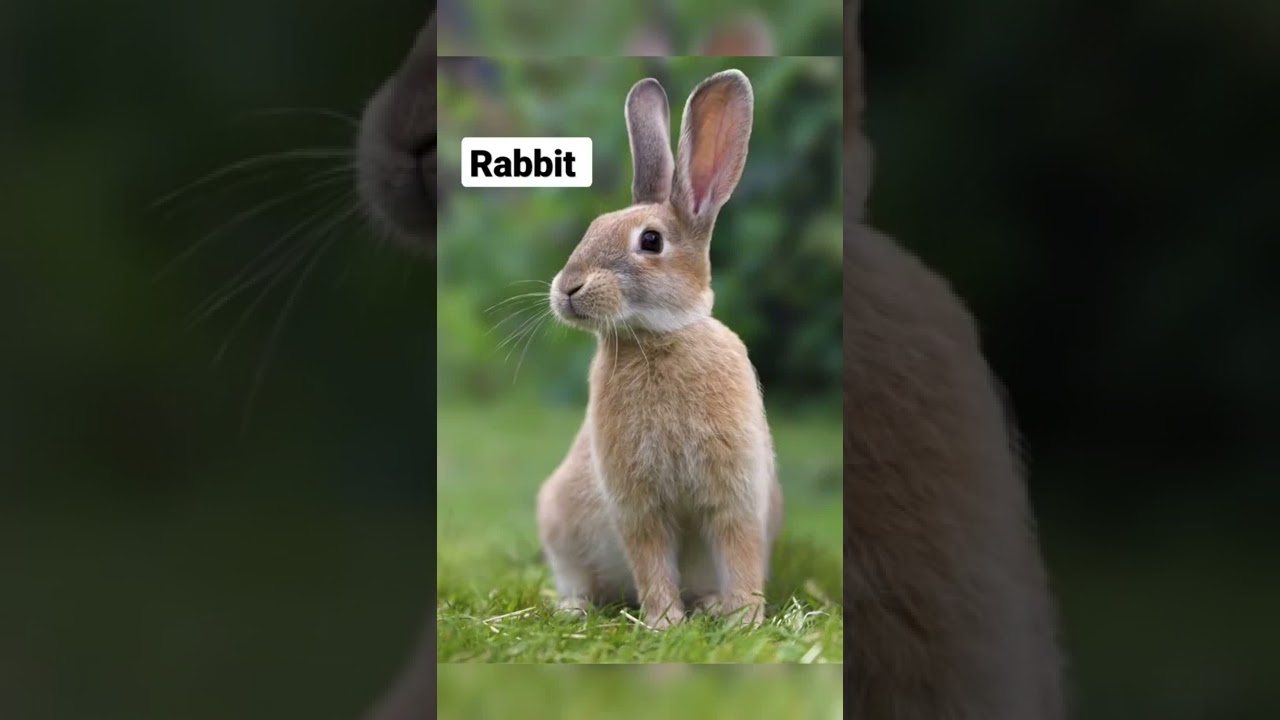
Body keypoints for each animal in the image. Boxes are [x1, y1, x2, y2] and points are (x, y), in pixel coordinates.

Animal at [535, 69, 785, 630]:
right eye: (592, 228)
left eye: (650, 241)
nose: (568, 288)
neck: (658, 338)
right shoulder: (637, 503)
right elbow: (650, 559)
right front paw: (665, 623)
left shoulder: (736, 493)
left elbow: (739, 551)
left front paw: (743, 619)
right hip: (558, 521)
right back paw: (573, 608)